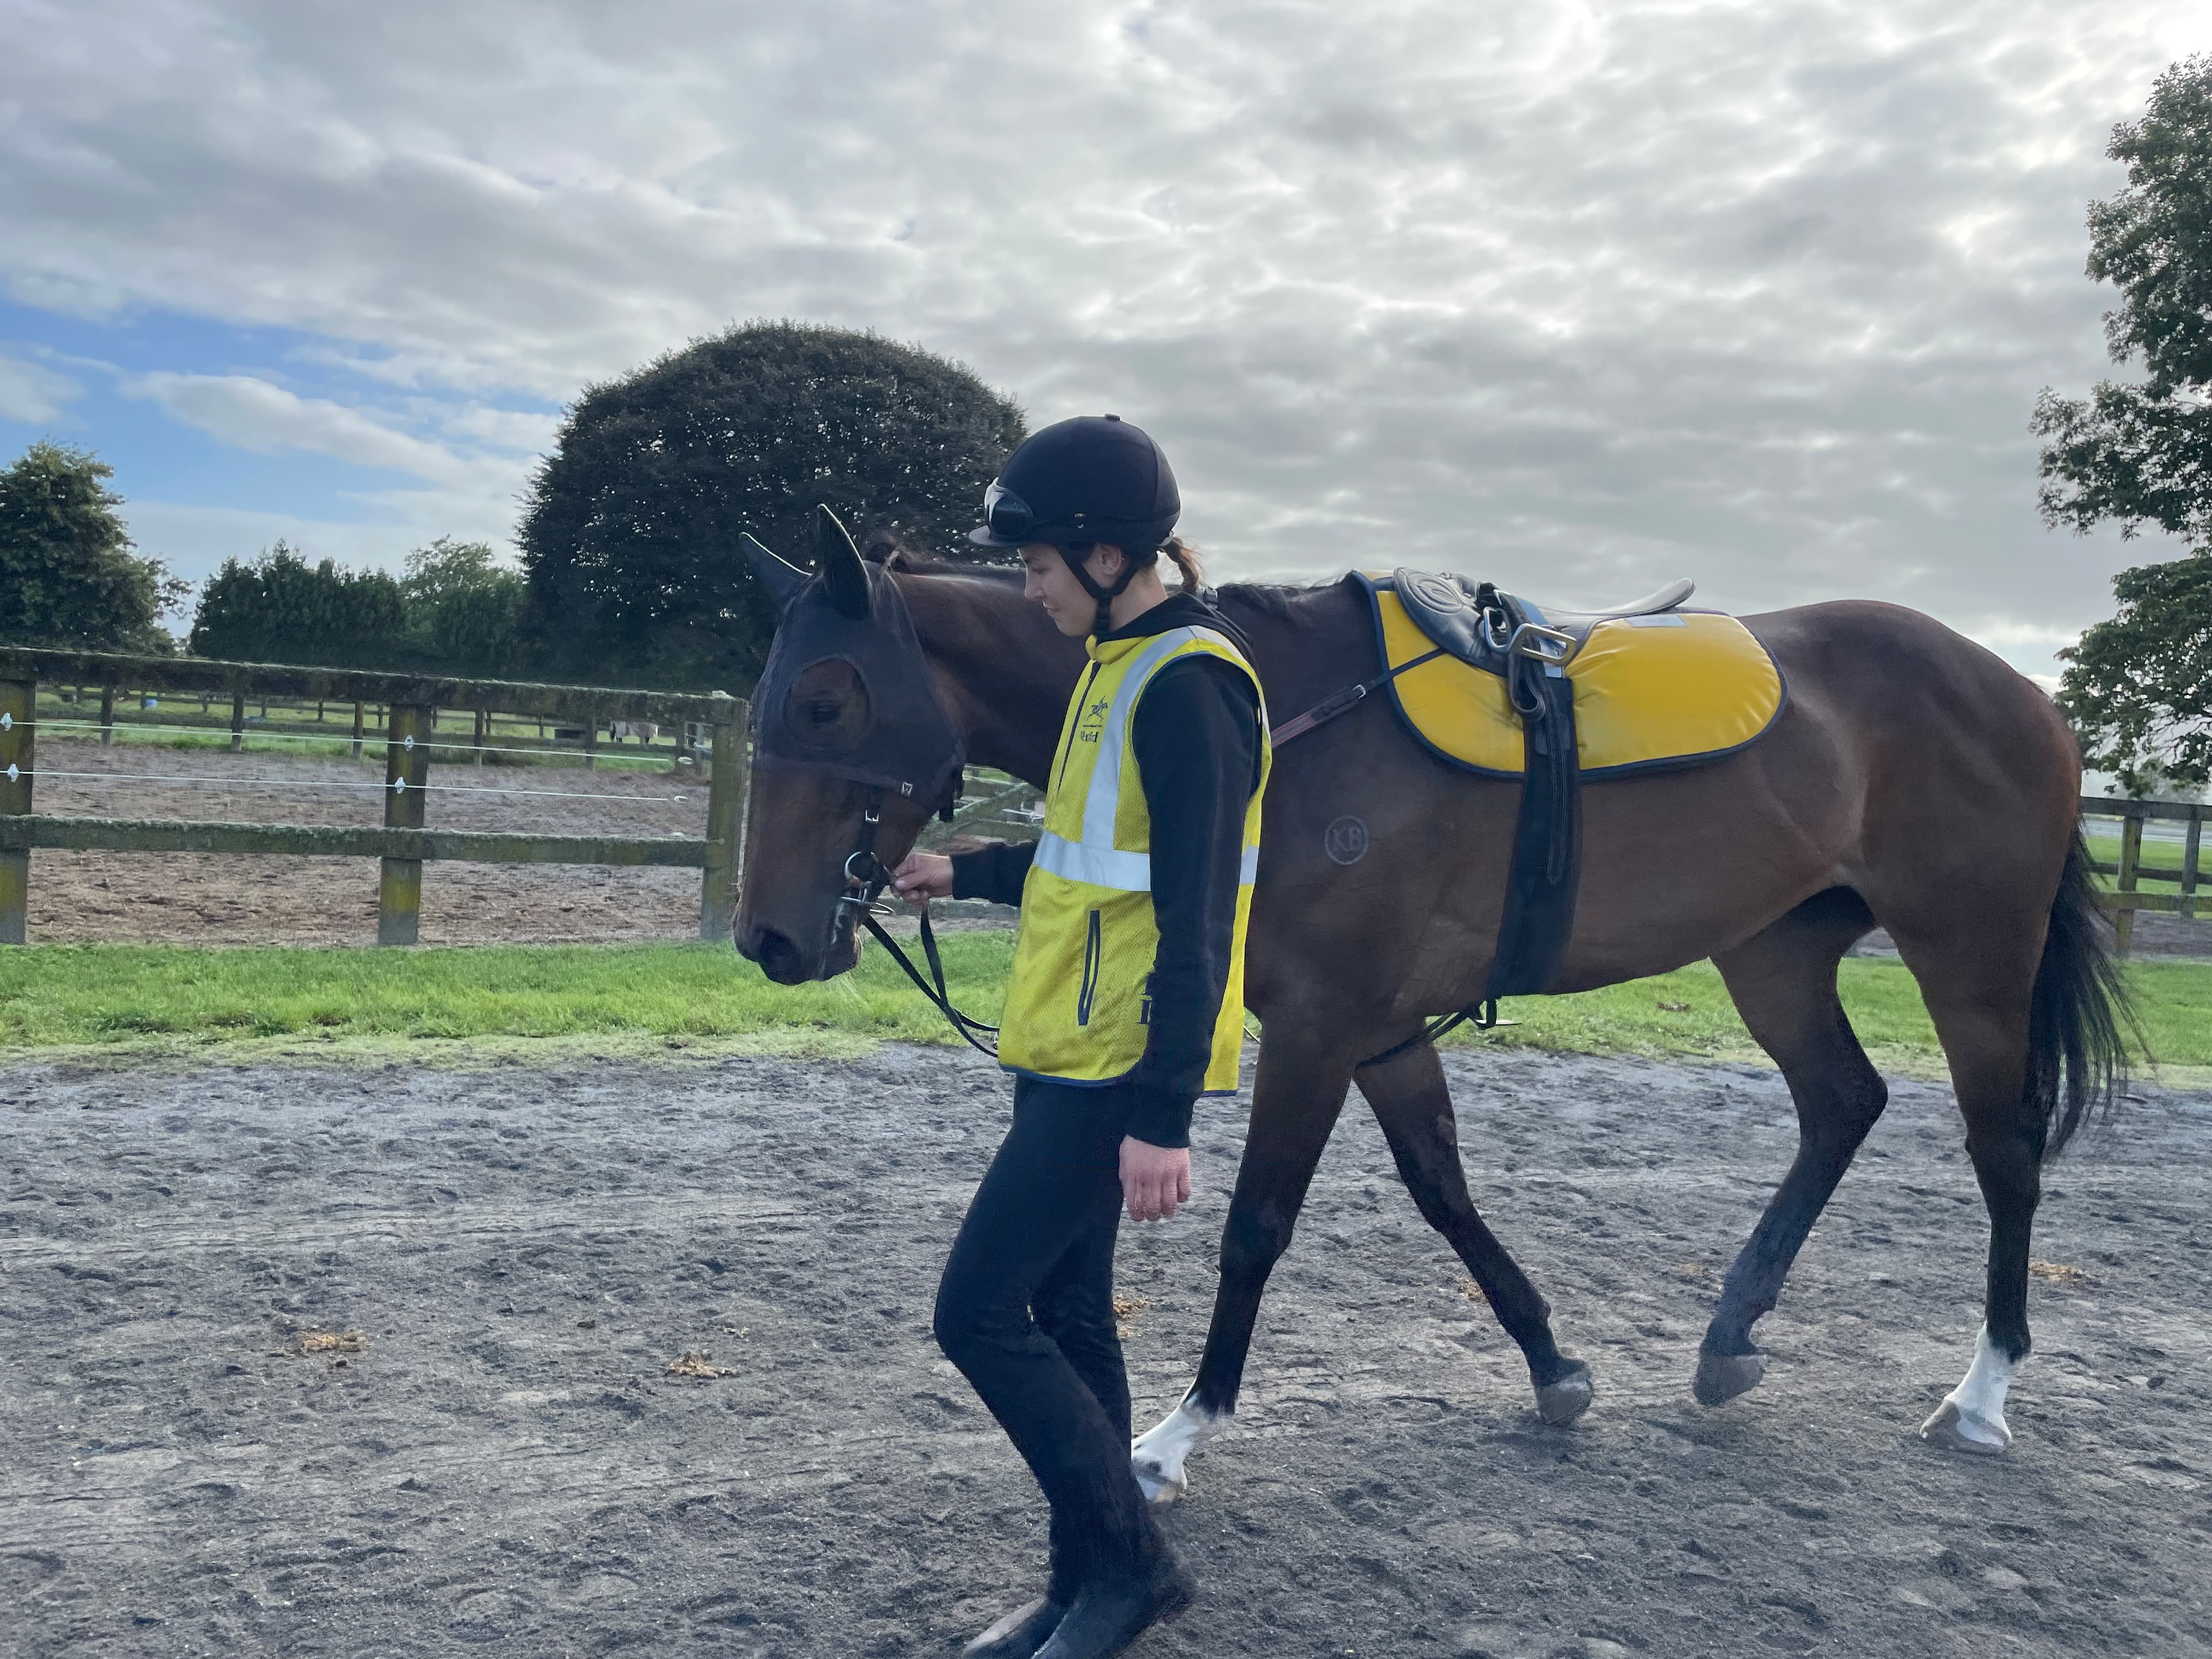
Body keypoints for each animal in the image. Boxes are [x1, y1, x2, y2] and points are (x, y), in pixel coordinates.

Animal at [732, 524, 2128, 1502]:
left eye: (824, 700)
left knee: (2002, 1149)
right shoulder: (1382, 1030)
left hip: (1970, 952)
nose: (770, 939)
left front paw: (1182, 1432)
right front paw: (1555, 1365)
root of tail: (2021, 694)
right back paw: (1732, 1334)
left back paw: (1985, 1390)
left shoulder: (1317, 1027)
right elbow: (1446, 1192)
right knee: (1843, 1104)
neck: (1276, 726)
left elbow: (1257, 1229)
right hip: (1773, 952)